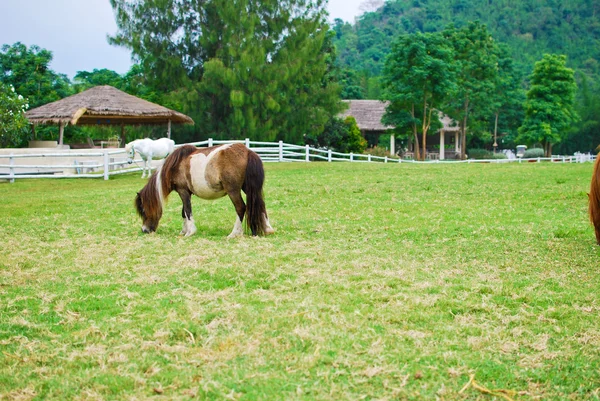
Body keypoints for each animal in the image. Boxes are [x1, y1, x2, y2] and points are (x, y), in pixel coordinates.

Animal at [134, 142, 274, 238]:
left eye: (143, 210)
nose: (144, 230)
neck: (175, 166)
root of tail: (247, 152)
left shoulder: (183, 192)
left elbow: (187, 211)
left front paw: (189, 232)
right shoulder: (186, 192)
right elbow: (183, 212)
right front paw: (183, 231)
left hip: (233, 191)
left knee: (241, 208)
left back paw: (234, 233)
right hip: (249, 189)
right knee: (261, 204)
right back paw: (268, 229)